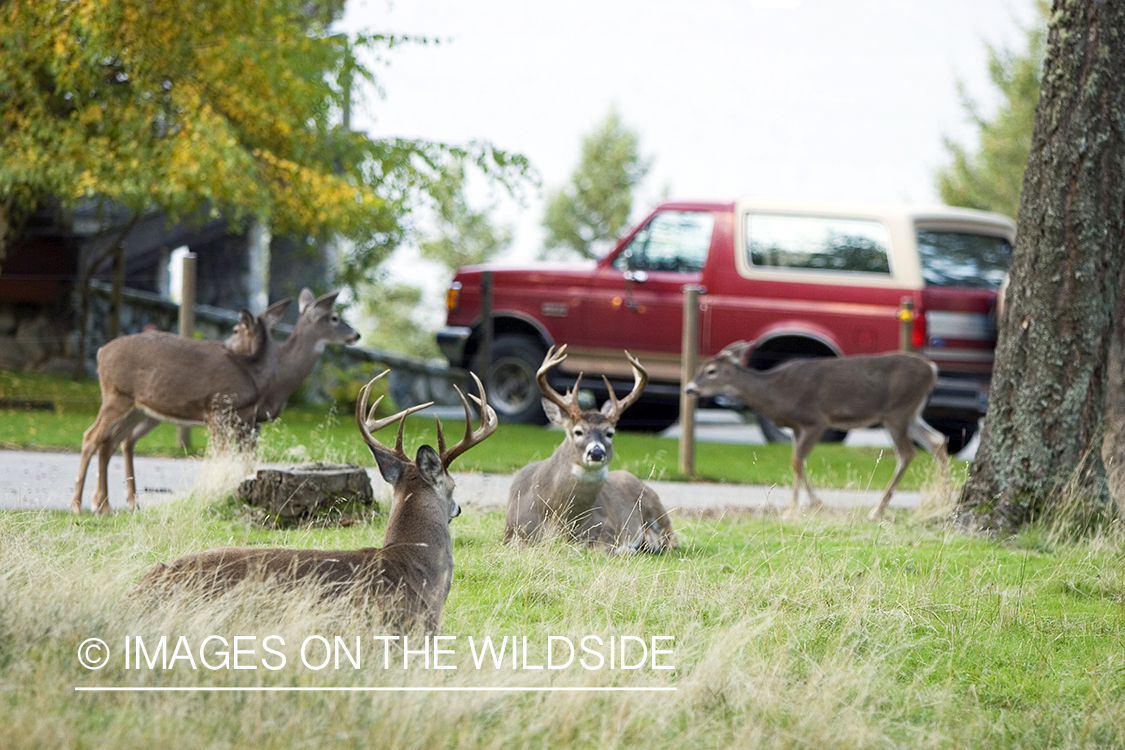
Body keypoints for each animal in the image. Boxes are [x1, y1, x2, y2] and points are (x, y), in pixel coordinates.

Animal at [70, 290, 357, 517]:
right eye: (334, 318)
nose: (356, 334)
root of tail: (100, 353)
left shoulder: (248, 419)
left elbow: (245, 458)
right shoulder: (218, 408)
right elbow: (223, 456)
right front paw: (216, 493)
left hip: (140, 409)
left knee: (113, 442)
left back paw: (108, 505)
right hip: (117, 395)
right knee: (91, 437)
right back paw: (80, 505)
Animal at [508, 346, 679, 550]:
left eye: (610, 433)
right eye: (578, 431)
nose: (596, 452)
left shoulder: (607, 526)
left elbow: (603, 548)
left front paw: (628, 548)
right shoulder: (511, 532)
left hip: (655, 505)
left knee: (673, 538)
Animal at [684, 344, 949, 519]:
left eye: (711, 371)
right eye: (700, 367)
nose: (688, 389)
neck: (776, 392)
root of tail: (932, 369)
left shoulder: (816, 420)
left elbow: (797, 461)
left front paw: (800, 508)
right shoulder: (795, 427)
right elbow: (796, 462)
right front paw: (803, 506)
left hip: (896, 411)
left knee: (907, 452)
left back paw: (878, 509)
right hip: (911, 413)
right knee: (937, 440)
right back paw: (940, 500)